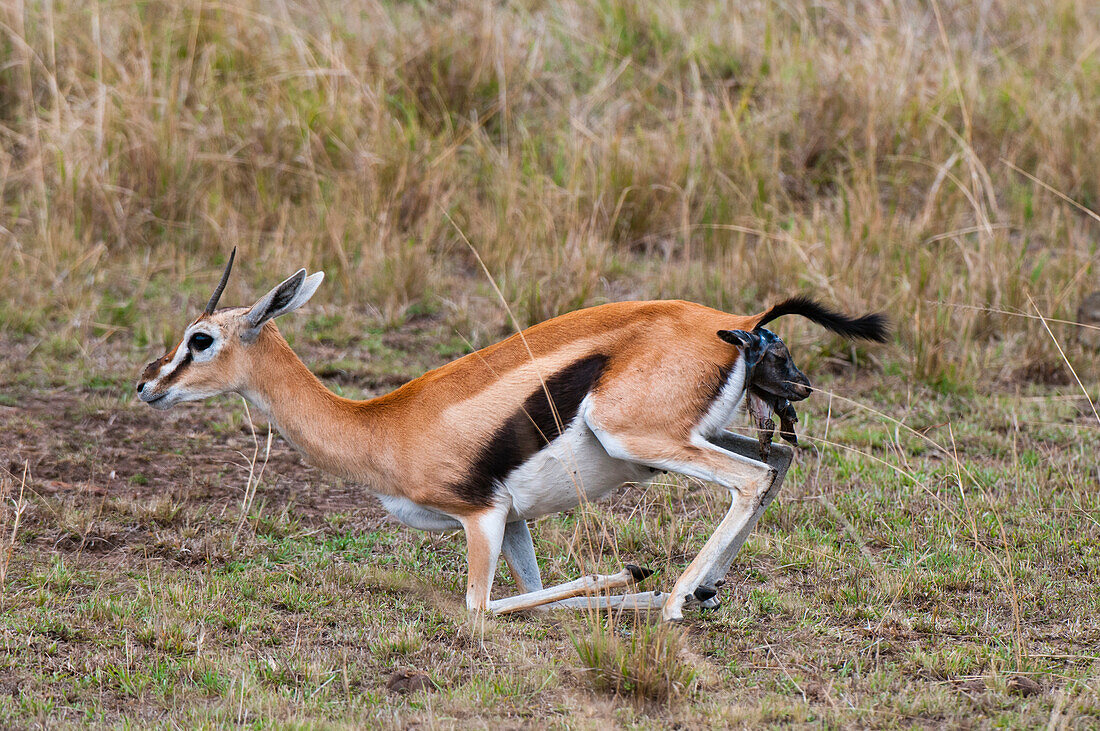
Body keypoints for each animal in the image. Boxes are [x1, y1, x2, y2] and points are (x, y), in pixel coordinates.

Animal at [137, 252, 888, 619]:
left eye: (199, 340)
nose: (147, 385)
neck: (380, 426)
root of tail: (741, 323)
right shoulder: (517, 518)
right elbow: (539, 589)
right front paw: (633, 586)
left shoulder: (480, 515)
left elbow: (482, 605)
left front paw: (637, 576)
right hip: (698, 437)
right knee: (781, 458)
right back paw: (701, 591)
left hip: (639, 441)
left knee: (754, 477)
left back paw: (678, 599)